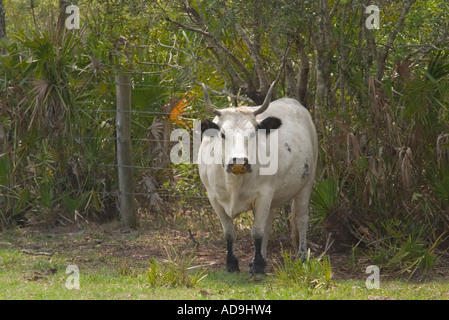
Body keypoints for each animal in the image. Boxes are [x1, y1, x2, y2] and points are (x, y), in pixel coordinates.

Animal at [198, 82, 316, 272]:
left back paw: (301, 256)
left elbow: (257, 232)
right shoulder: (214, 198)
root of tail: (292, 102)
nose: (239, 162)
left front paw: (259, 266)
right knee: (268, 225)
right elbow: (229, 232)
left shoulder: (264, 195)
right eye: (223, 134)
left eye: (253, 133)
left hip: (306, 183)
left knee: (301, 219)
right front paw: (233, 263)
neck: (235, 183)